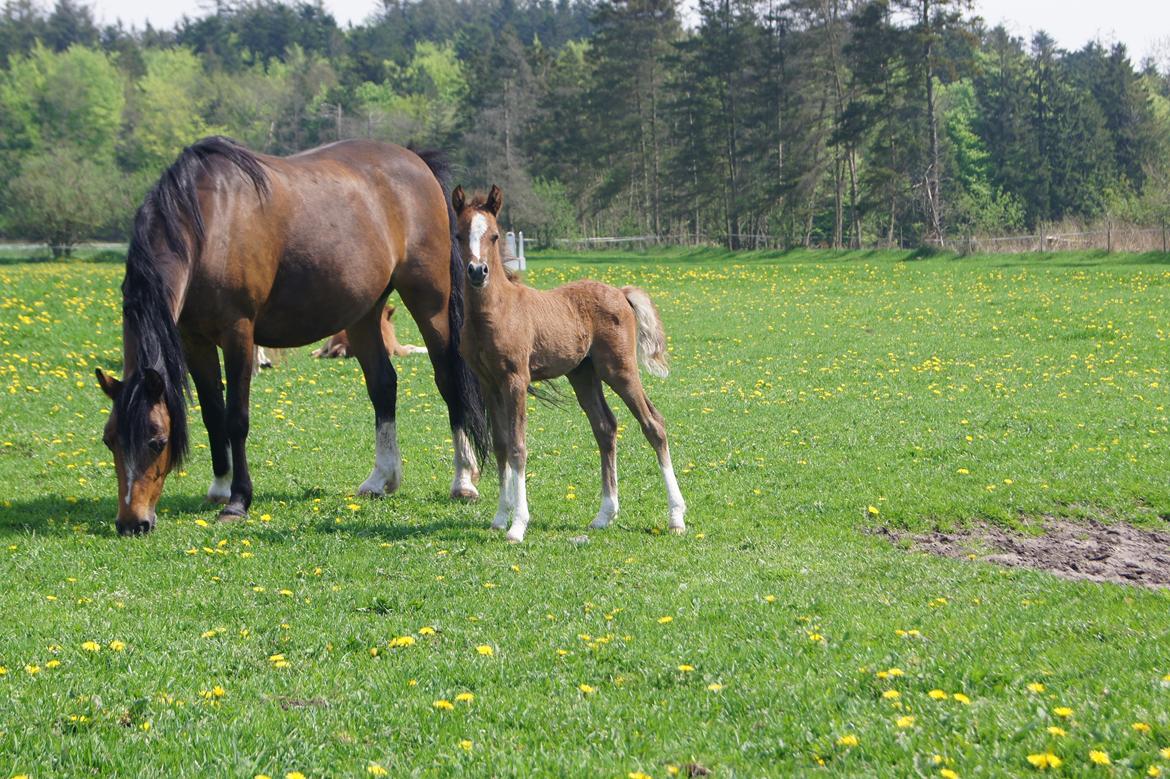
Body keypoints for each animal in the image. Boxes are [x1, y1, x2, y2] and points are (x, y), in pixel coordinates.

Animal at [92, 135, 489, 533]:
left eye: (157, 441)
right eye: (109, 440)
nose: (132, 522)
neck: (209, 223)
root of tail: (416, 160)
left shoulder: (238, 334)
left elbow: (236, 418)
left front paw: (237, 501)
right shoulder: (194, 340)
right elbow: (212, 414)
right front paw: (219, 486)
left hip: (430, 301)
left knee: (448, 380)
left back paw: (463, 480)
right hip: (363, 313)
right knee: (383, 385)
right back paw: (381, 479)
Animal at [446, 185, 683, 542]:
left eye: (494, 235)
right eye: (459, 234)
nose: (477, 272)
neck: (495, 313)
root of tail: (620, 292)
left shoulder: (515, 380)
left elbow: (518, 447)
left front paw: (518, 525)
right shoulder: (489, 384)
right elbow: (501, 445)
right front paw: (500, 518)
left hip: (620, 370)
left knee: (653, 424)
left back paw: (676, 517)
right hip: (583, 374)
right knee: (605, 427)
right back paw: (604, 515)